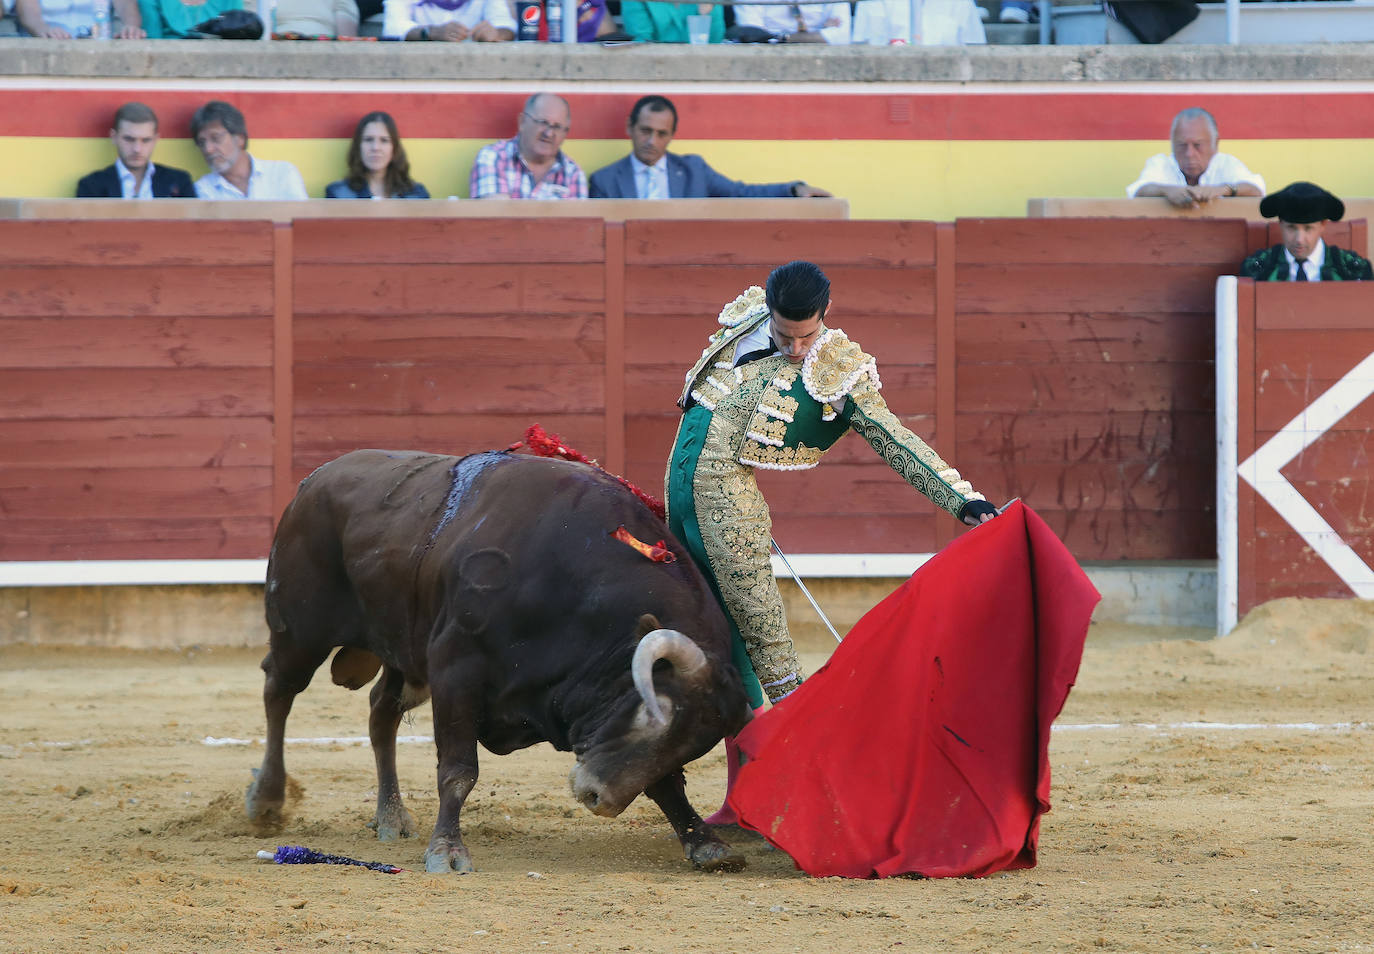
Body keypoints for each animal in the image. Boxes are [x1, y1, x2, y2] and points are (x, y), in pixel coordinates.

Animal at [239, 448, 752, 874]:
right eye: (651, 713)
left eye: (694, 746)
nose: (597, 797)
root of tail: (314, 479)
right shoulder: (456, 672)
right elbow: (459, 770)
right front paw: (447, 852)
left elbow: (666, 783)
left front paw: (704, 842)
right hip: (300, 630)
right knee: (278, 691)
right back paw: (266, 801)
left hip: (402, 649)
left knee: (380, 712)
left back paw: (391, 816)